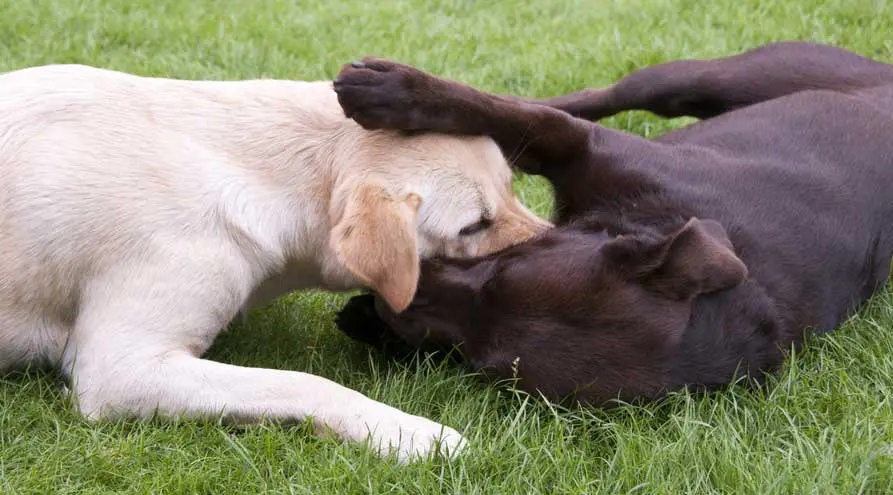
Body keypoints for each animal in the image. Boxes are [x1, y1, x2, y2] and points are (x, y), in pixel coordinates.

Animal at [0, 64, 552, 464]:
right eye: (475, 225)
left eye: (511, 188)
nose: (561, 242)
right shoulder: (120, 368)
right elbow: (302, 381)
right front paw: (408, 432)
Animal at [332, 41, 892, 406]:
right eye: (501, 272)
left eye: (478, 361)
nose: (393, 302)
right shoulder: (584, 147)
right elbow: (519, 117)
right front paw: (396, 91)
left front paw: (370, 320)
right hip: (703, 78)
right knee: (600, 96)